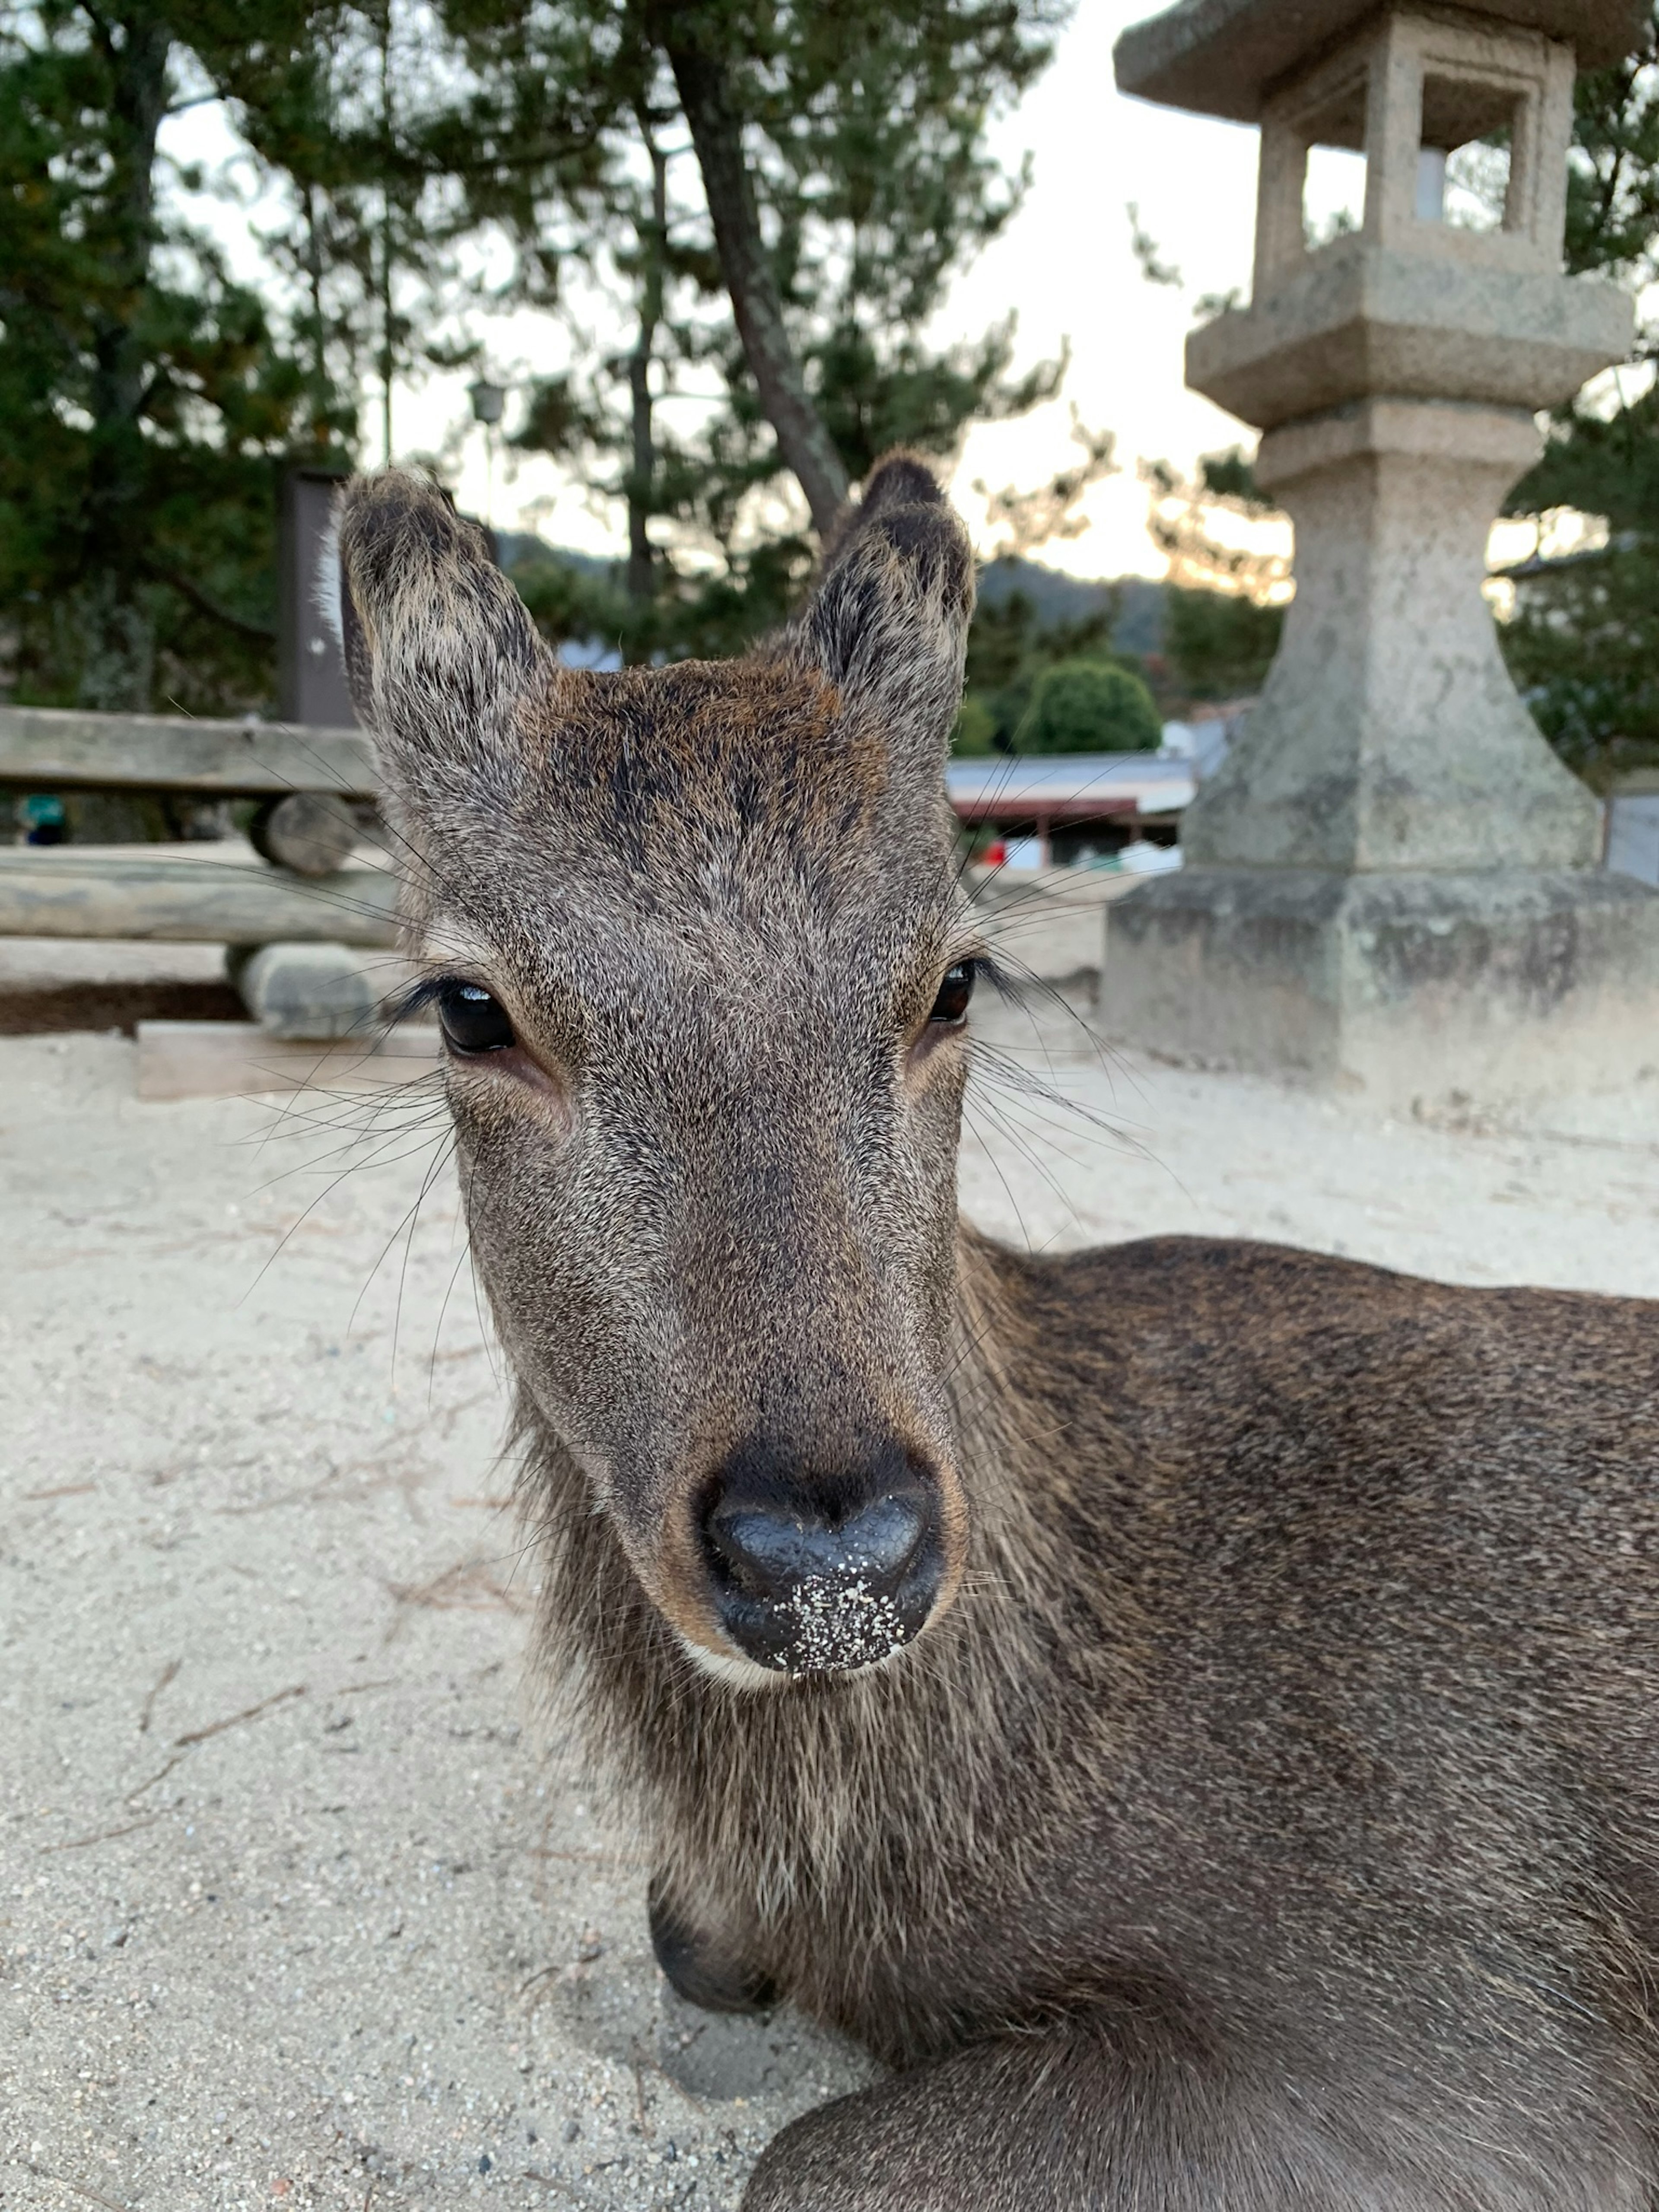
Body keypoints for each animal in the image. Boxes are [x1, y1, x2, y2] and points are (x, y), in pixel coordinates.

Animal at [334, 458, 1659, 2203]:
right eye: (468, 1004)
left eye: (955, 978)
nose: (828, 1558)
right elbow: (684, 1934)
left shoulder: (1470, 2046)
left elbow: (805, 2156)